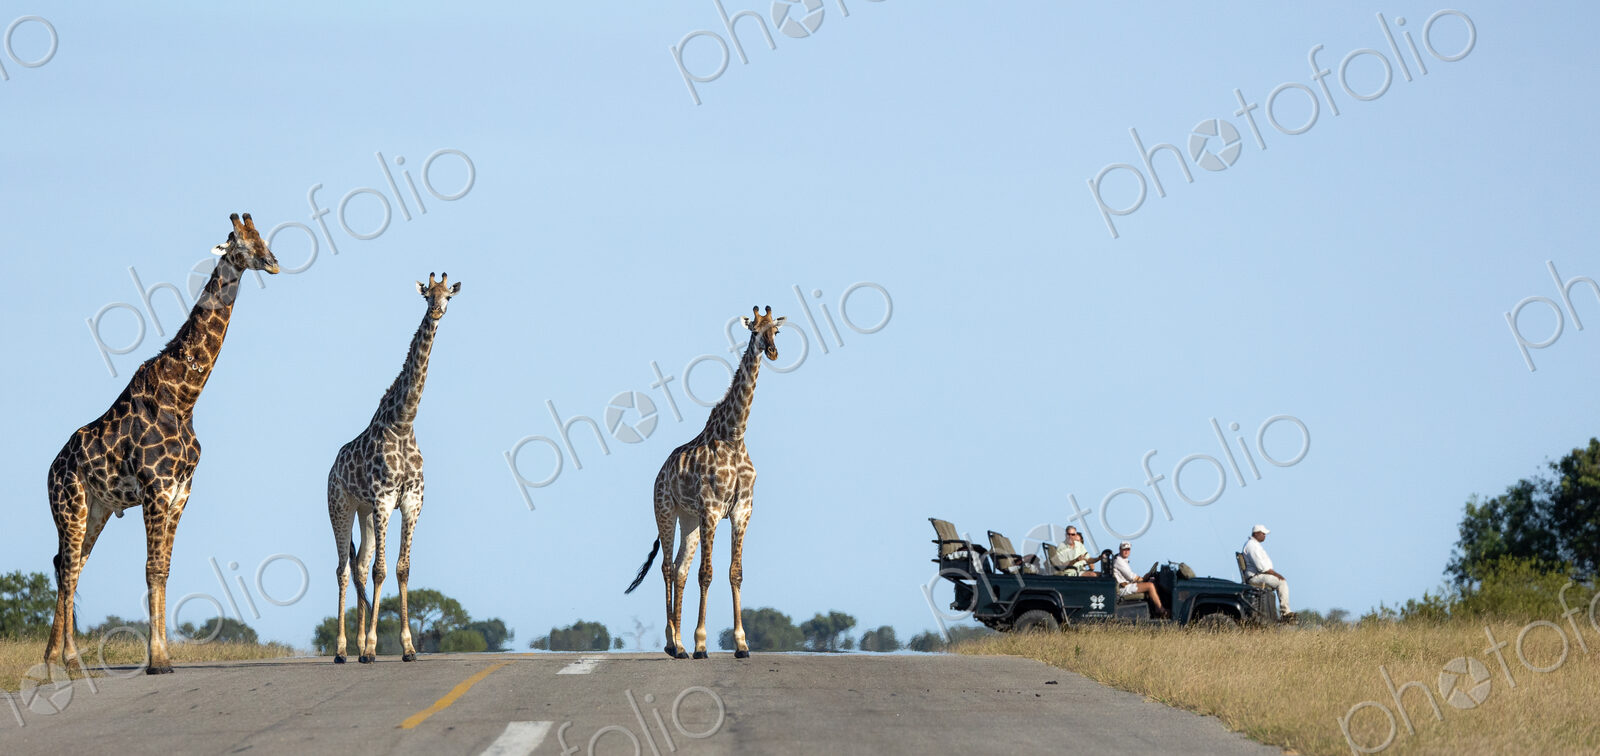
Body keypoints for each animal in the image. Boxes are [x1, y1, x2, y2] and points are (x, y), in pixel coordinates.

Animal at [44, 213, 280, 674]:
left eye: (262, 236)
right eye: (240, 243)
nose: (273, 262)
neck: (184, 397)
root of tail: (50, 470)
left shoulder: (181, 490)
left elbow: (165, 569)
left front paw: (166, 655)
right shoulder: (155, 488)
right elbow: (152, 568)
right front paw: (155, 661)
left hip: (97, 509)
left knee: (69, 564)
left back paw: (53, 660)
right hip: (70, 505)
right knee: (68, 566)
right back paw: (70, 660)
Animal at [327, 272, 460, 664]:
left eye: (448, 296)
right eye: (427, 295)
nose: (437, 311)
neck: (403, 423)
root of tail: (332, 467)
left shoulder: (411, 502)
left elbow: (401, 569)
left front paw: (408, 647)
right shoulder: (385, 501)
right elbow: (381, 570)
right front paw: (373, 647)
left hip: (365, 512)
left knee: (357, 565)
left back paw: (355, 645)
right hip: (341, 507)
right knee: (343, 569)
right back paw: (342, 649)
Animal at [625, 306, 786, 659]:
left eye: (777, 331)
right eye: (754, 330)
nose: (771, 351)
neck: (735, 437)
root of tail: (660, 472)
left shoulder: (741, 511)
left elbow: (734, 573)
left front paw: (741, 644)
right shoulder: (711, 510)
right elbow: (707, 573)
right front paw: (701, 643)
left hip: (689, 520)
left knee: (679, 569)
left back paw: (680, 644)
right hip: (666, 511)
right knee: (667, 567)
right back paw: (674, 643)